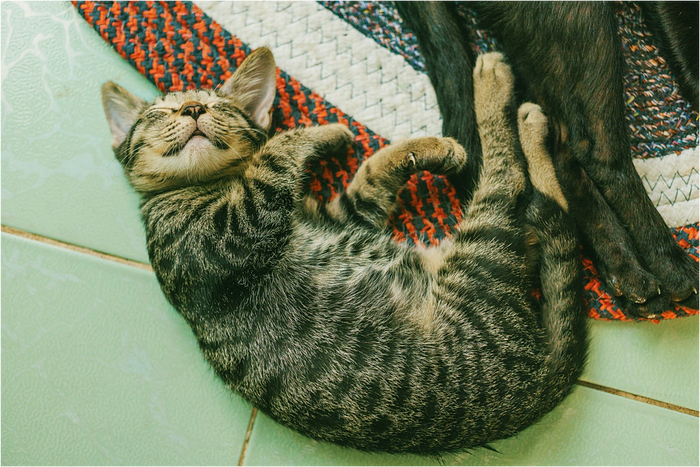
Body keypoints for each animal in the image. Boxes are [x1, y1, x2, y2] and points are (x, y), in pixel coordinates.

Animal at [101, 49, 588, 456]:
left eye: (220, 107)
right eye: (160, 113)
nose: (193, 109)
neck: (217, 183)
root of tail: (536, 388)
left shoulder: (344, 214)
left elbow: (370, 174)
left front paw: (403, 145)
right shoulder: (226, 234)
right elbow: (277, 149)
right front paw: (317, 132)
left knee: (546, 216)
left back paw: (528, 123)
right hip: (480, 257)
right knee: (509, 184)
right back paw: (494, 88)